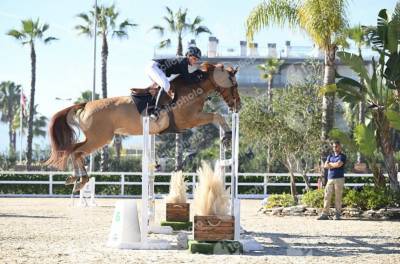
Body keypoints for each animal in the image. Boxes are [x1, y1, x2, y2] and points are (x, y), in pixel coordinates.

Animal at [45, 64, 242, 192]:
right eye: (234, 85)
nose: (238, 106)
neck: (193, 87)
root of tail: (86, 105)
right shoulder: (189, 120)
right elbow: (217, 115)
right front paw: (227, 136)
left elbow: (217, 115)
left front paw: (226, 137)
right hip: (100, 138)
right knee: (76, 151)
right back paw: (81, 180)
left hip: (95, 138)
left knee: (73, 150)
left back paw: (75, 178)